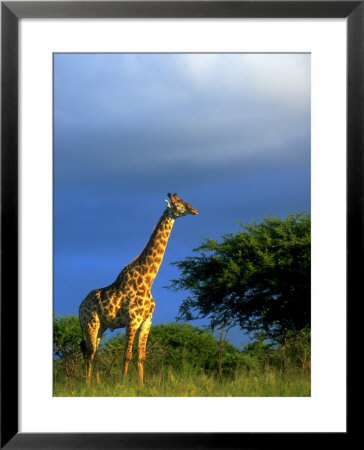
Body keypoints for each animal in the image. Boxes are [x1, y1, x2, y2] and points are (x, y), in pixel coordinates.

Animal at [78, 192, 199, 384]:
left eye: (185, 201)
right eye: (179, 204)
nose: (195, 210)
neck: (148, 280)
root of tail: (79, 307)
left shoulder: (147, 321)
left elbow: (141, 356)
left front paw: (141, 385)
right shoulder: (132, 320)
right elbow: (126, 355)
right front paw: (123, 383)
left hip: (102, 326)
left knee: (95, 353)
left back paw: (96, 384)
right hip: (90, 323)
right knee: (90, 353)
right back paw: (88, 384)